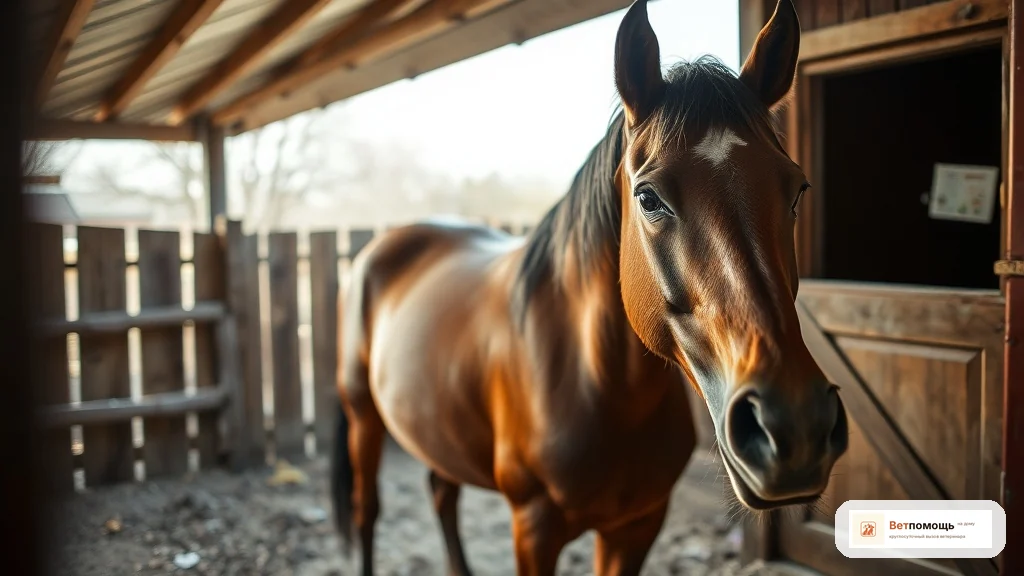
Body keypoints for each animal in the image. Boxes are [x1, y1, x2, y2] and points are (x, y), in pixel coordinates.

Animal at [330, 0, 848, 573]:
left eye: (797, 189)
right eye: (648, 198)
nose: (794, 426)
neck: (596, 383)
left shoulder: (636, 526)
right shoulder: (534, 531)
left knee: (441, 493)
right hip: (362, 417)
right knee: (367, 510)